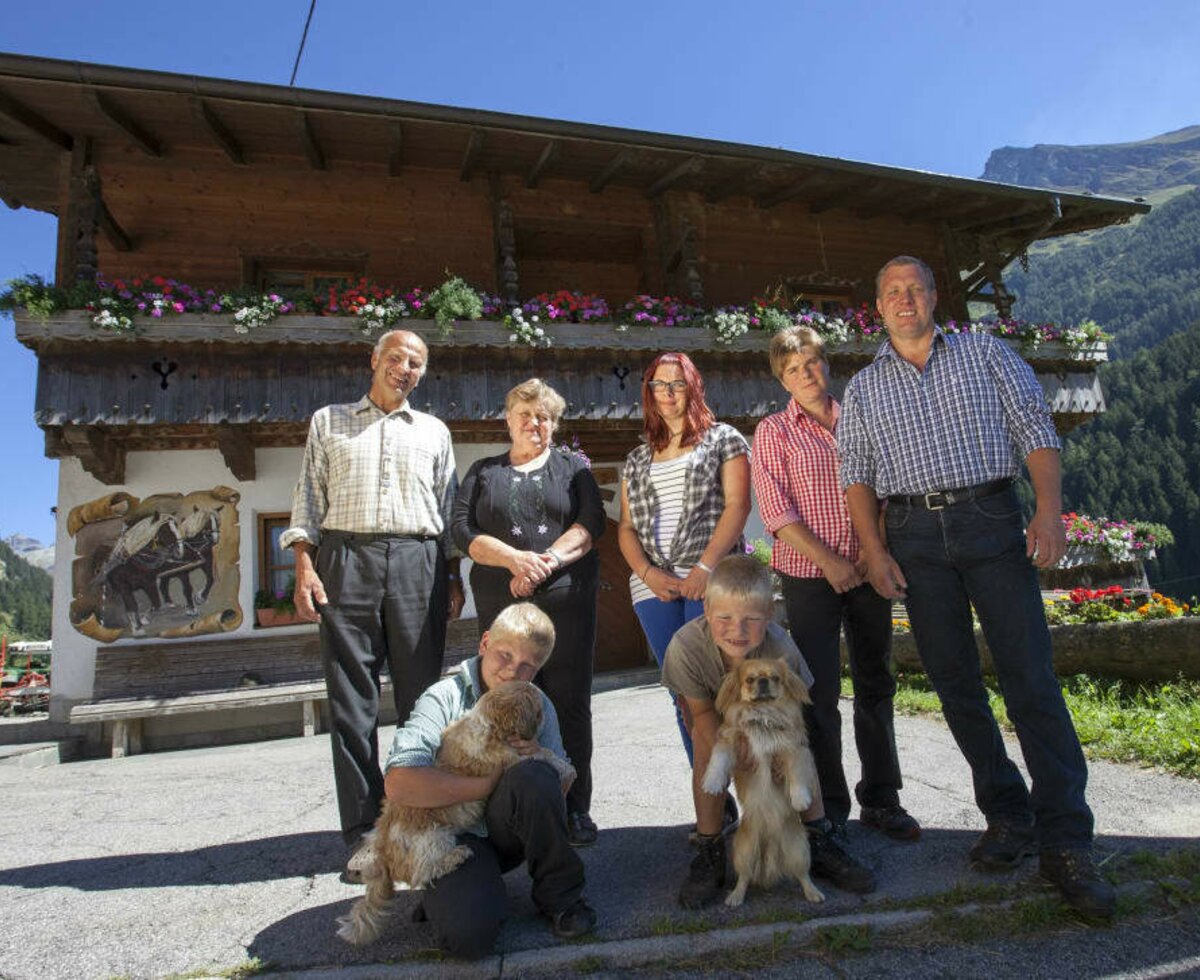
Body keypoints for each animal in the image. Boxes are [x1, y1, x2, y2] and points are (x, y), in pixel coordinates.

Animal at [336, 681, 573, 940]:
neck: (490, 725)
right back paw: (455, 857)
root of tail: (383, 851)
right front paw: (566, 768)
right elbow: (542, 755)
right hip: (433, 836)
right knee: (424, 872)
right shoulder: (510, 758)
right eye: (538, 710)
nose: (545, 712)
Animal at [700, 657, 825, 911]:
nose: (764, 681)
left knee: (803, 875)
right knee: (744, 877)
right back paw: (735, 897)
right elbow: (718, 759)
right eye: (749, 680)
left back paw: (813, 893)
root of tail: (770, 840)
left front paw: (800, 800)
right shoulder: (731, 741)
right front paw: (712, 783)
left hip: (799, 849)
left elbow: (796, 775)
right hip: (744, 850)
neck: (763, 714)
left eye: (775, 678)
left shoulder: (795, 750)